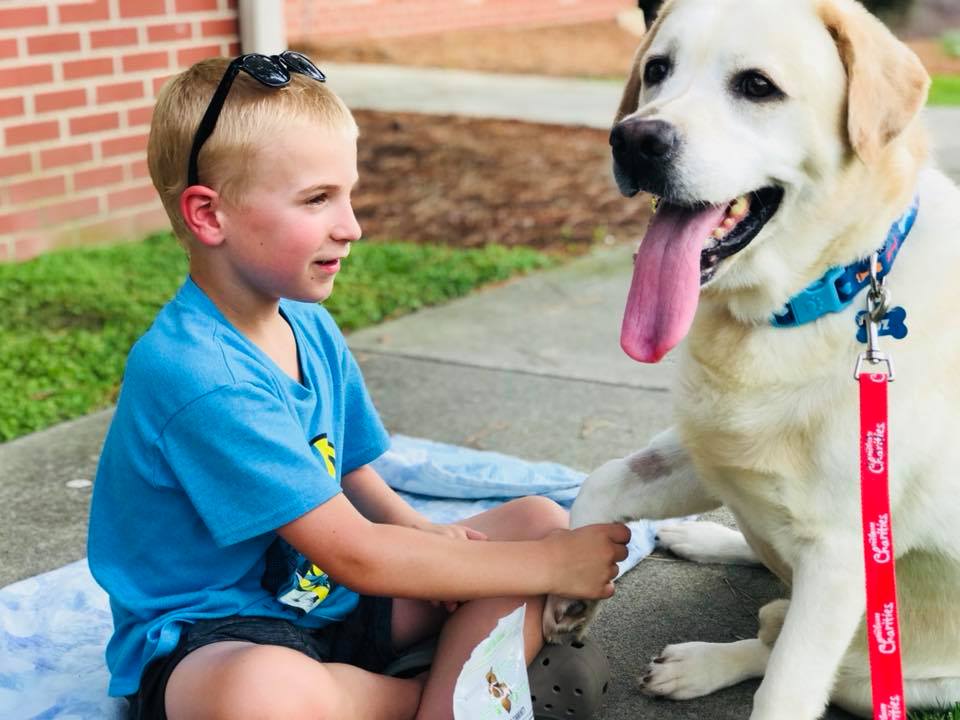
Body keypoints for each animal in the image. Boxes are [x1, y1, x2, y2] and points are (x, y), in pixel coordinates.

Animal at [543, 0, 960, 718]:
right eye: (657, 70)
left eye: (757, 86)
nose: (634, 141)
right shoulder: (708, 450)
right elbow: (601, 478)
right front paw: (573, 583)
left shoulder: (841, 563)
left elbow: (784, 691)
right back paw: (701, 543)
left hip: (887, 670)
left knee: (780, 643)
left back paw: (703, 663)